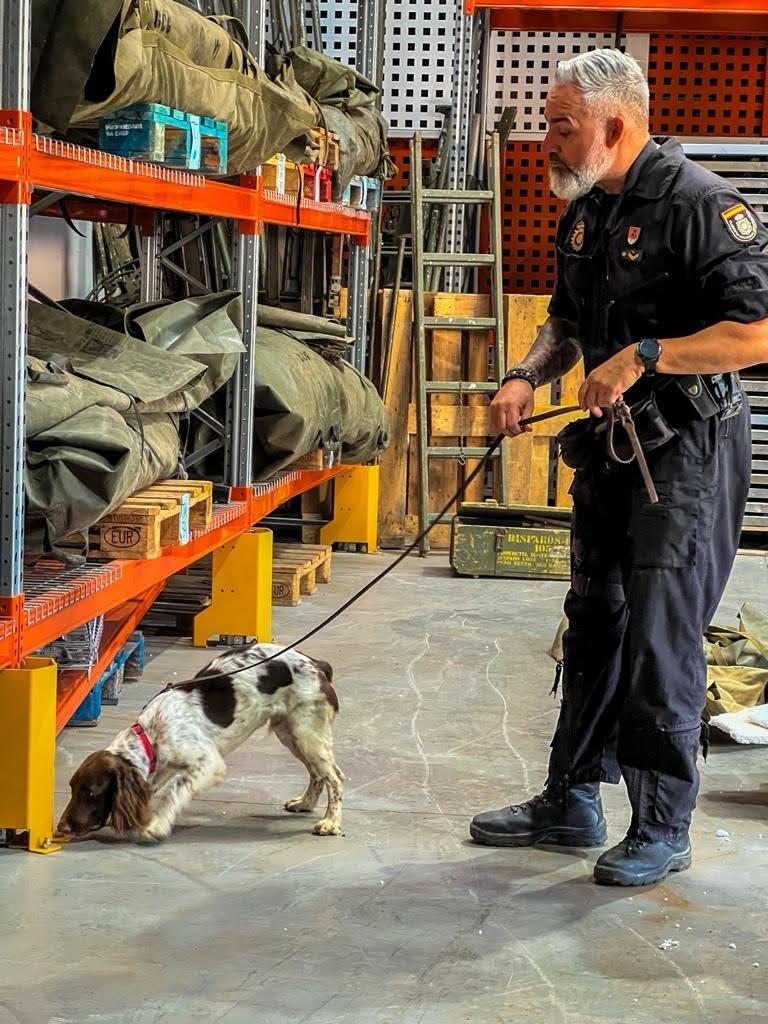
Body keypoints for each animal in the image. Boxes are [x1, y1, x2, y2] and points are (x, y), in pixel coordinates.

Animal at [58, 643, 348, 843]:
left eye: (91, 792)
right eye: (71, 788)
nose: (62, 828)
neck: (151, 735)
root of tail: (317, 664)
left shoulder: (208, 764)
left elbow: (174, 792)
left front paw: (157, 825)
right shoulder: (163, 767)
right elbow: (153, 789)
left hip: (306, 732)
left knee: (335, 777)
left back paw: (330, 822)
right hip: (291, 733)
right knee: (318, 774)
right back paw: (305, 803)